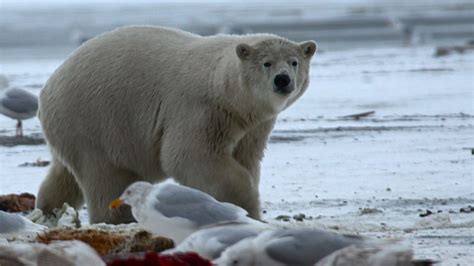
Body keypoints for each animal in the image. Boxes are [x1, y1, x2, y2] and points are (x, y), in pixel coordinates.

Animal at [37, 26, 316, 223]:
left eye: (294, 62)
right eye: (266, 62)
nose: (283, 80)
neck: (223, 88)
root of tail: (46, 90)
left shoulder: (252, 125)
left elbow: (247, 158)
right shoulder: (199, 110)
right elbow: (188, 155)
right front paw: (247, 207)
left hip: (72, 129)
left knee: (64, 174)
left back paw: (48, 209)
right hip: (93, 122)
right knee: (106, 176)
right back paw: (119, 218)